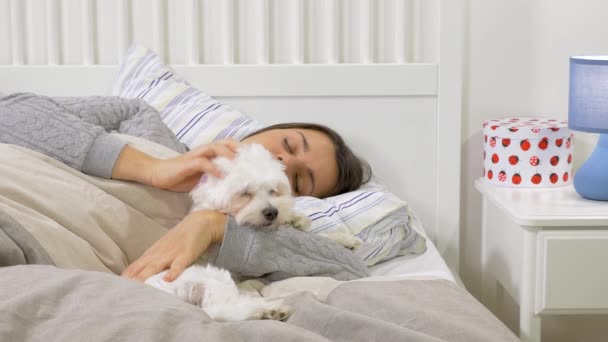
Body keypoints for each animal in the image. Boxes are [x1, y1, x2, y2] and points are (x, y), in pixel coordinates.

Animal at [147, 143, 360, 322]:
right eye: (245, 193)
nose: (272, 212)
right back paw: (269, 310)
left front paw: (341, 239)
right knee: (218, 310)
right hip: (209, 277)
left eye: (273, 190)